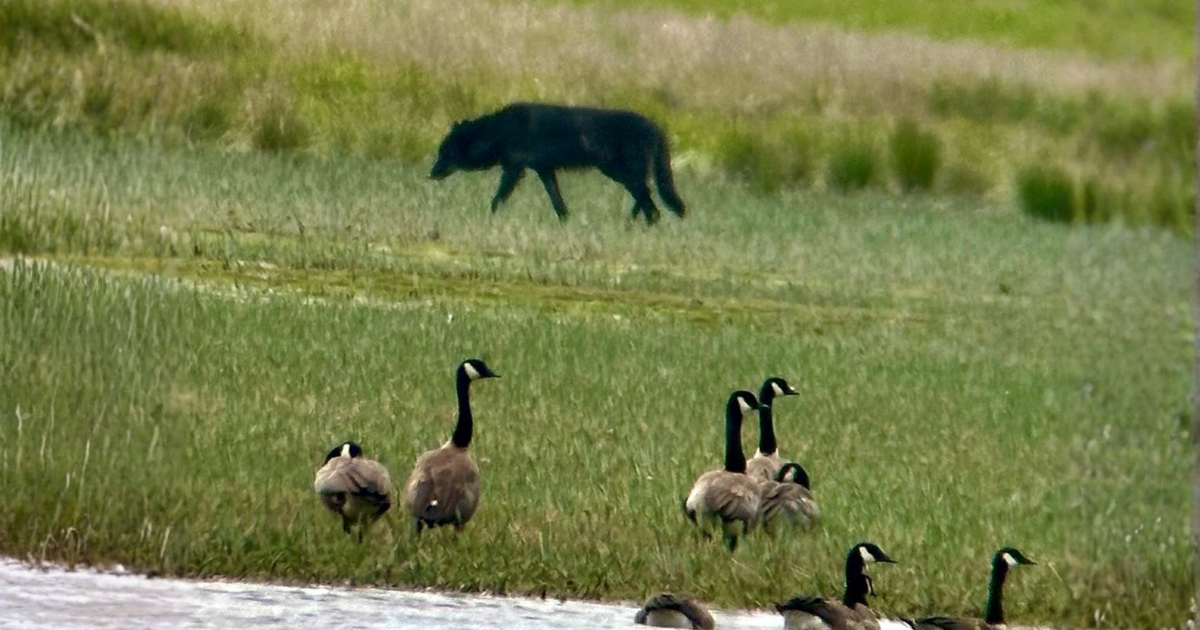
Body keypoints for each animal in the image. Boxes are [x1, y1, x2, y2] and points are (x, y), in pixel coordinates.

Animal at [429, 102, 686, 224]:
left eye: (444, 153)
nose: (430, 174)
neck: (501, 130)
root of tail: (657, 128)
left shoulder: (514, 169)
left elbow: (498, 198)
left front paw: (489, 217)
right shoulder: (544, 170)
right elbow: (558, 203)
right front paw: (565, 222)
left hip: (622, 174)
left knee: (649, 201)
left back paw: (643, 223)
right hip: (620, 174)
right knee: (646, 197)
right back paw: (631, 223)